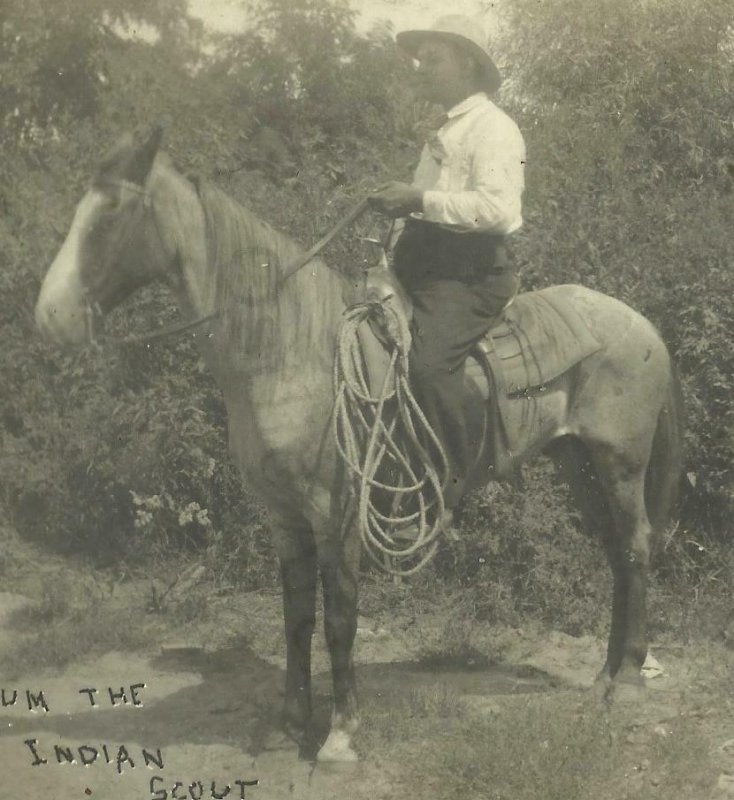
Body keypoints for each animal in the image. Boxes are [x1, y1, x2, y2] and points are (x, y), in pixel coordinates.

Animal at [36, 131, 684, 764]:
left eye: (109, 214)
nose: (50, 316)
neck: (290, 350)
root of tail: (644, 328)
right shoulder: (284, 515)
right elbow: (296, 616)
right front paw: (289, 724)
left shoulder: (335, 513)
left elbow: (340, 618)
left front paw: (341, 735)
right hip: (581, 465)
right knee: (617, 555)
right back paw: (605, 674)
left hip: (620, 463)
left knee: (635, 548)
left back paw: (624, 678)